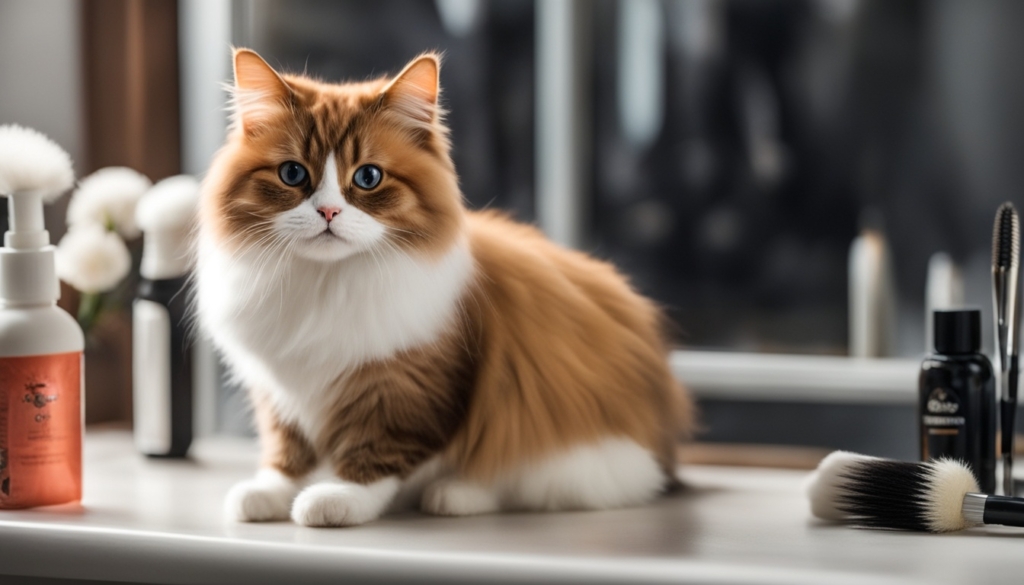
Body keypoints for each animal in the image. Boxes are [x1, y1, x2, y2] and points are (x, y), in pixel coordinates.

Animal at [195, 48, 692, 528]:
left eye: (368, 177)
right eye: (293, 174)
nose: (329, 213)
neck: (325, 283)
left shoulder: (407, 388)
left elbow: (376, 455)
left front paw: (335, 498)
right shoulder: (279, 391)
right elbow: (288, 454)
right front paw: (268, 493)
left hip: (570, 449)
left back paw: (454, 495)